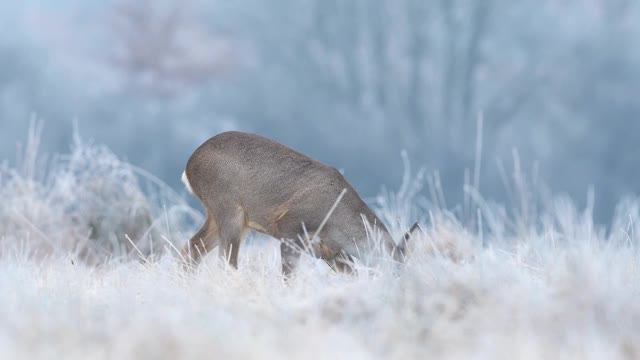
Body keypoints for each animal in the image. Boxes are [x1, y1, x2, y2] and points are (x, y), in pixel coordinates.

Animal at [180, 132, 420, 276]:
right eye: (395, 268)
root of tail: (189, 164)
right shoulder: (290, 227)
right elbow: (288, 276)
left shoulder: (331, 253)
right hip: (229, 209)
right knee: (225, 262)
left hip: (220, 216)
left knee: (191, 249)